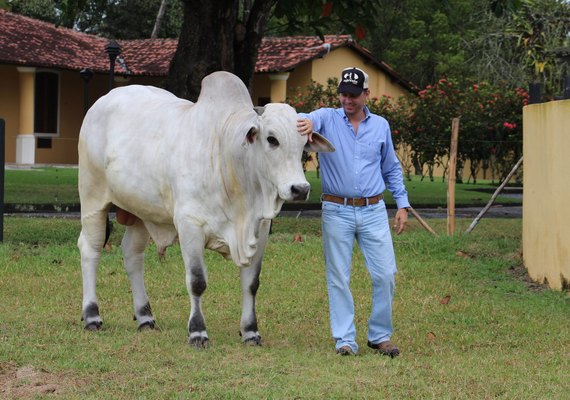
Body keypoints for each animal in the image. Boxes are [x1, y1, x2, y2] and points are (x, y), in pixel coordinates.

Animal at [75, 71, 332, 346]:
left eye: (304, 143)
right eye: (272, 139)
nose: (300, 189)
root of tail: (102, 101)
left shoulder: (260, 230)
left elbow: (251, 283)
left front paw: (251, 331)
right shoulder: (190, 226)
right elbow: (197, 281)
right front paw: (197, 331)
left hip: (141, 212)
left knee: (132, 254)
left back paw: (144, 316)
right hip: (92, 198)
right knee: (90, 248)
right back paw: (91, 315)